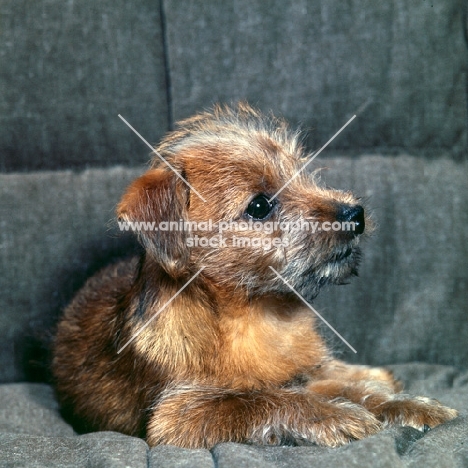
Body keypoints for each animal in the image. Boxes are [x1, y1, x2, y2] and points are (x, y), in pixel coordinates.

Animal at [52, 104, 458, 448]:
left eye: (303, 174)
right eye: (260, 206)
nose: (354, 214)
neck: (256, 314)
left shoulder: (305, 371)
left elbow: (345, 388)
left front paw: (407, 404)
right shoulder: (180, 414)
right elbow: (259, 399)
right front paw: (331, 415)